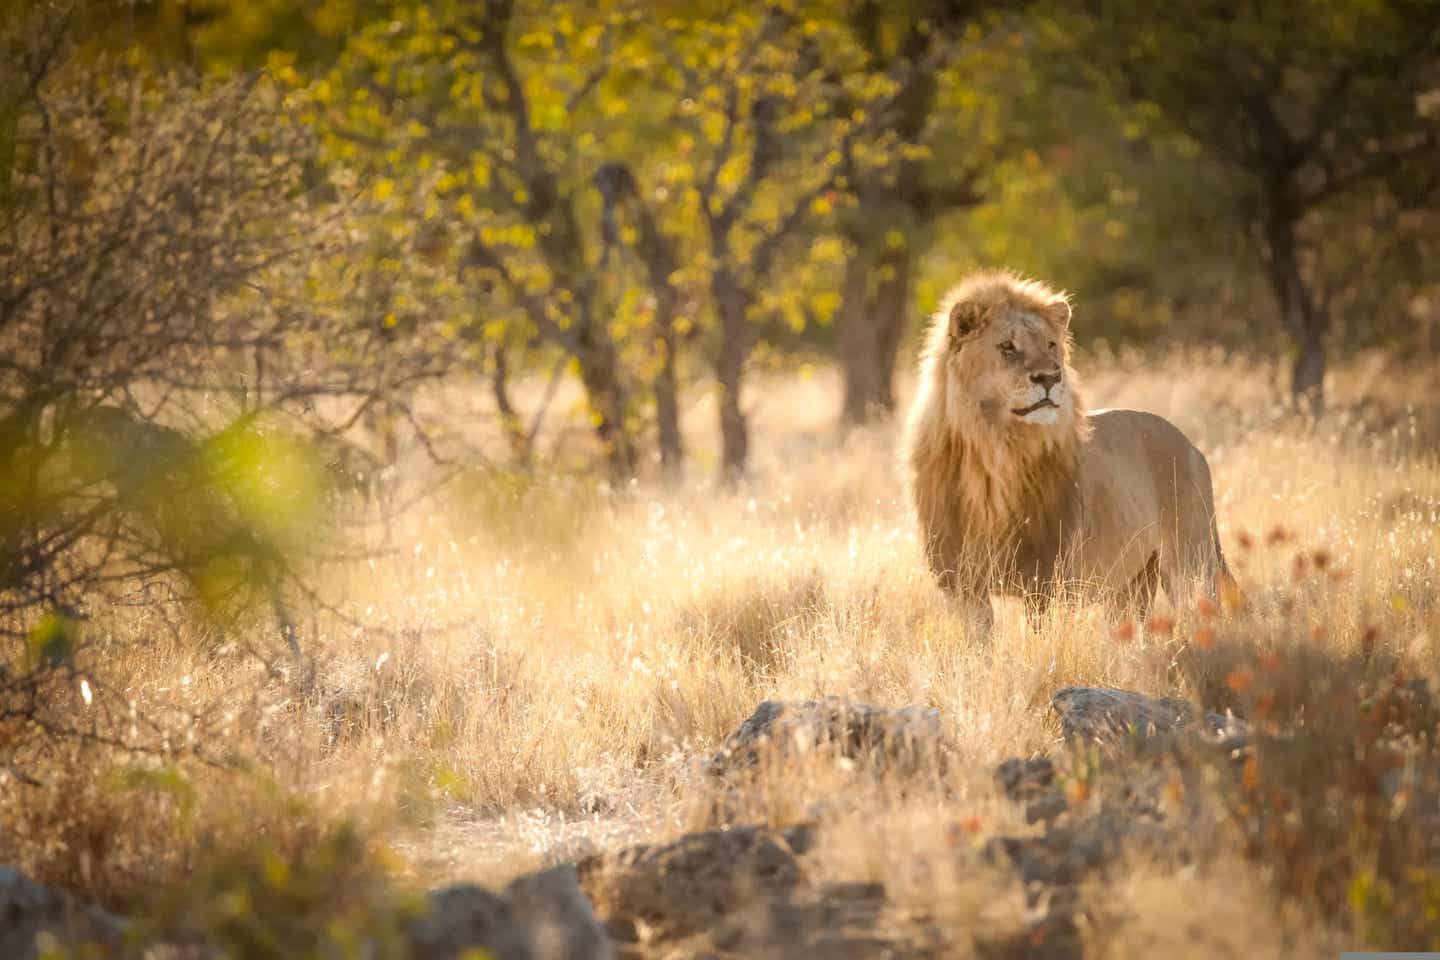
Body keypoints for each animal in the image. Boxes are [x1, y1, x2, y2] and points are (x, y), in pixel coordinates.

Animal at [898, 270, 1226, 630]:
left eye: (1050, 345)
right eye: (1007, 347)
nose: (1050, 377)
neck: (997, 450)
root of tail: (1191, 444)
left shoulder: (1048, 579)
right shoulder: (961, 581)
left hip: (1190, 563)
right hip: (1130, 584)